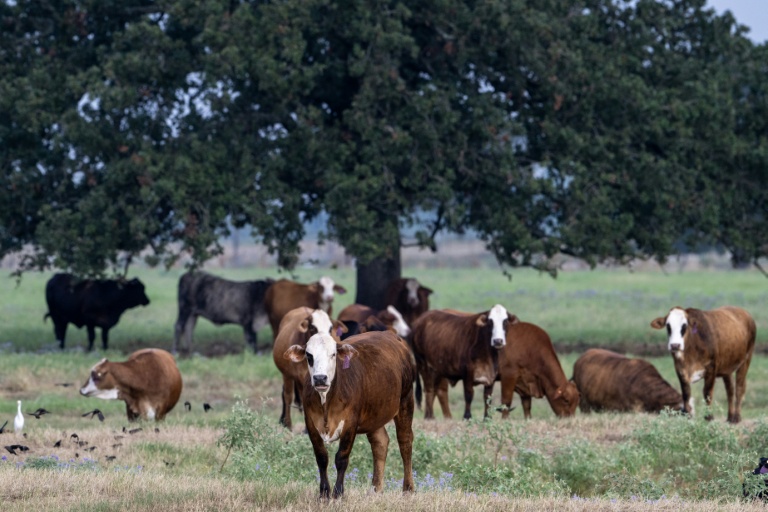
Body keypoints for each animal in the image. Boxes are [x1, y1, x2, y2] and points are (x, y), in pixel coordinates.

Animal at [284, 330, 415, 498]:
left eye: (333, 354)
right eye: (309, 355)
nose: (320, 378)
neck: (327, 400)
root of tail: (390, 334)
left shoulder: (350, 423)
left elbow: (341, 458)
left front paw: (338, 493)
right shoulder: (311, 423)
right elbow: (321, 457)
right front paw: (324, 493)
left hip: (406, 400)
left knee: (405, 442)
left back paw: (408, 489)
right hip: (374, 415)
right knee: (380, 443)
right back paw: (376, 489)